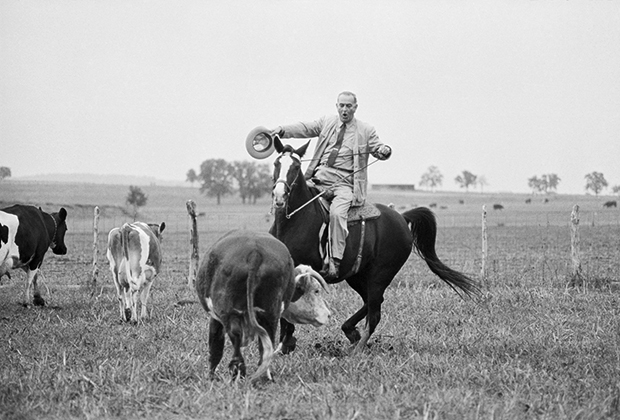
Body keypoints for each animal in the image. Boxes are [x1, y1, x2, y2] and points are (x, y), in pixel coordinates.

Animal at [197, 230, 334, 380]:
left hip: (230, 313)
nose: (328, 314)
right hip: (270, 313)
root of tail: (255, 253)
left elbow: (215, 348)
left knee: (237, 340)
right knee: (266, 347)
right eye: (316, 290)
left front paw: (211, 378)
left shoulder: (216, 317)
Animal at [268, 139, 478, 352]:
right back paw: (350, 331)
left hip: (380, 275)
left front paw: (285, 344)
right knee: (370, 303)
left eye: (295, 167)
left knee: (375, 311)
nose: (279, 195)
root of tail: (401, 217)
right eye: (276, 164)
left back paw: (357, 348)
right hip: (357, 275)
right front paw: (284, 344)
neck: (294, 221)